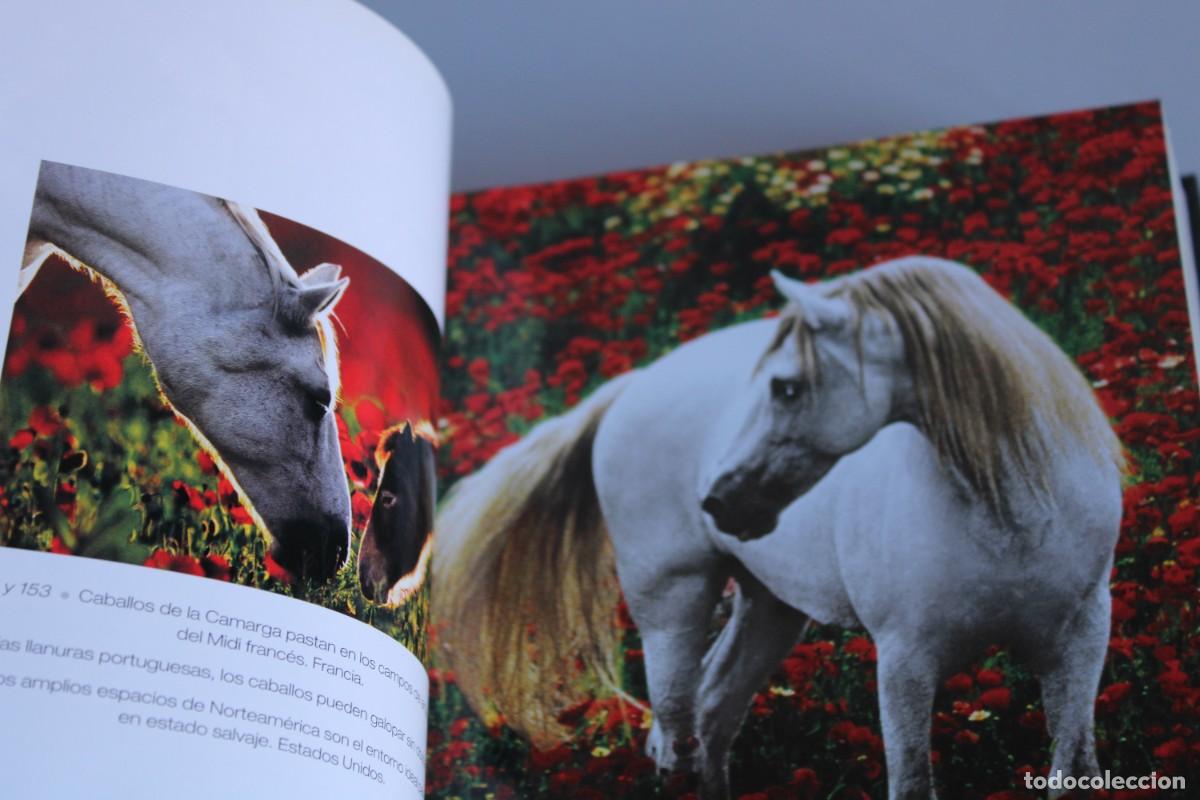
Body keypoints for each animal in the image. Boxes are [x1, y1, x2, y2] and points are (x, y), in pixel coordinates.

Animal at [433, 255, 1125, 800]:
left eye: (787, 387)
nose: (721, 502)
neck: (1009, 518)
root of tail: (634, 385)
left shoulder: (1082, 642)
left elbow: (1074, 771)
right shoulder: (905, 661)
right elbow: (911, 782)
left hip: (770, 606)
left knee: (713, 714)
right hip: (671, 604)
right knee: (678, 737)